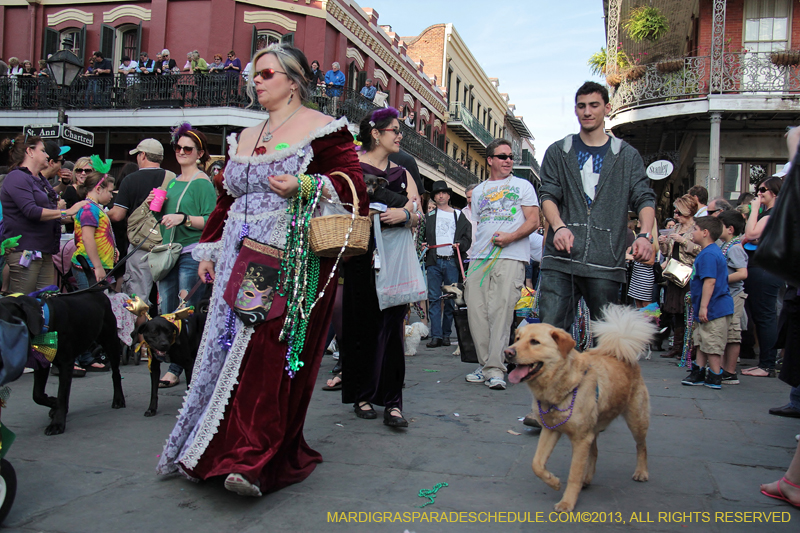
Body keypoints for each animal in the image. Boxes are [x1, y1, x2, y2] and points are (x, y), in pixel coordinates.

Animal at [0, 288, 124, 434]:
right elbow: (38, 394)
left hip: (110, 342)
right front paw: (54, 403)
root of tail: (99, 292)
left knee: (116, 373)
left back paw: (118, 399)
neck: (44, 321)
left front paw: (57, 423)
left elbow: (62, 393)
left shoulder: (66, 363)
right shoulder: (43, 362)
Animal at [506, 306, 656, 510]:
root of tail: (620, 351)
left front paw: (567, 502)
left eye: (535, 342)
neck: (563, 385)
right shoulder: (551, 430)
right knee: (595, 452)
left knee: (641, 446)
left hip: (636, 419)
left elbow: (574, 474)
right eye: (517, 338)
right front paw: (554, 481)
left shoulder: (581, 439)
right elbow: (536, 464)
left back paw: (641, 472)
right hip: (594, 428)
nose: (507, 352)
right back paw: (588, 478)